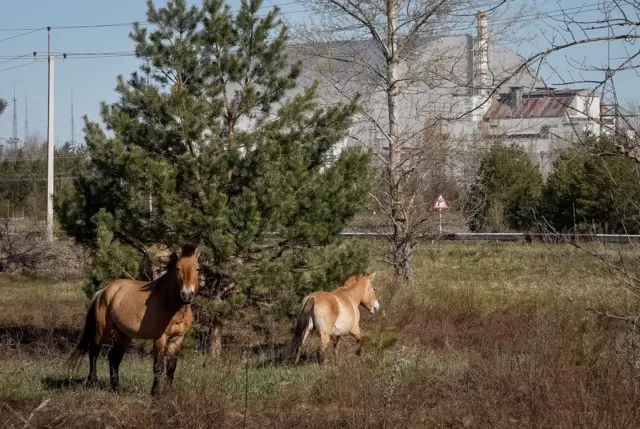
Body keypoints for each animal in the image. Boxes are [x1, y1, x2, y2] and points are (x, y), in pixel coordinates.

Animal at [72, 243, 201, 396]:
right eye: (178, 268)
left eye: (198, 268)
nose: (187, 295)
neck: (170, 304)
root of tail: (104, 291)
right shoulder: (160, 338)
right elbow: (158, 367)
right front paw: (155, 393)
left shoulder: (178, 338)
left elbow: (171, 367)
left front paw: (169, 393)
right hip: (102, 331)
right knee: (94, 351)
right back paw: (92, 381)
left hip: (123, 335)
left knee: (114, 357)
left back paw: (116, 389)